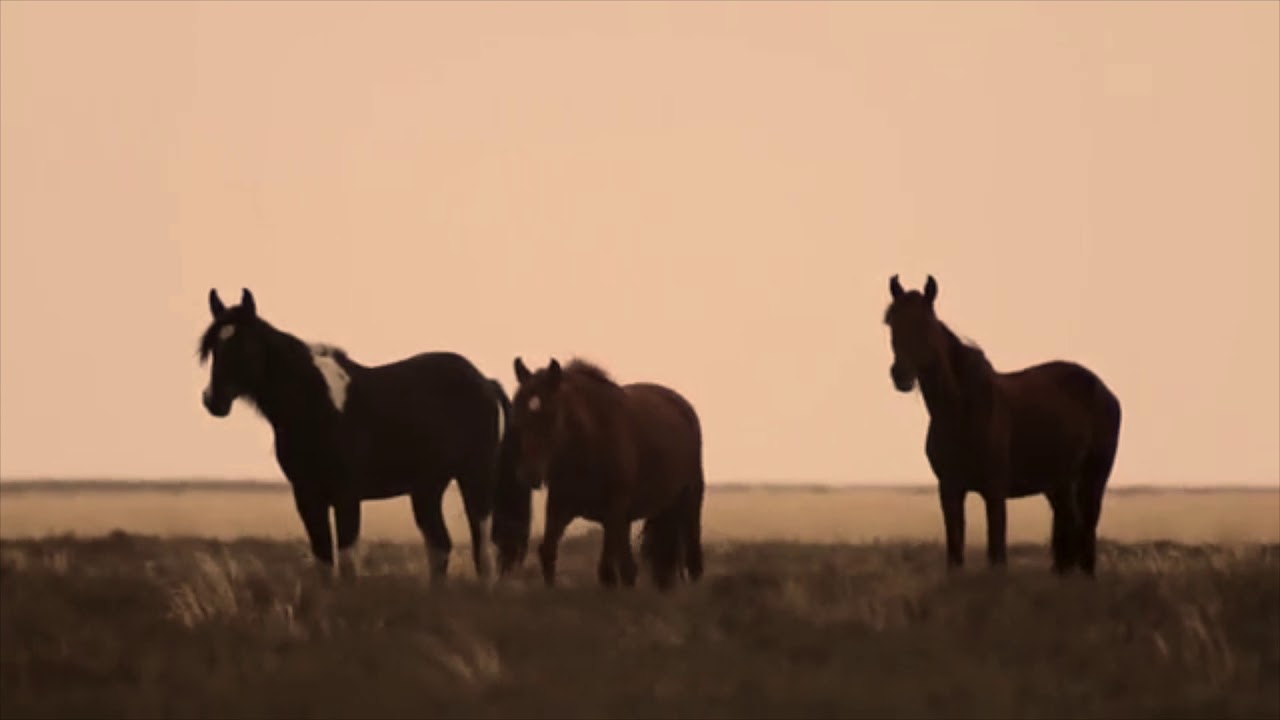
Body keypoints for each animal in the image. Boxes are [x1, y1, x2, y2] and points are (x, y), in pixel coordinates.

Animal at [197, 288, 518, 582]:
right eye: (213, 348)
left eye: (244, 345)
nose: (213, 401)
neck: (316, 404)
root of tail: (486, 382)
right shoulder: (307, 495)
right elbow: (325, 564)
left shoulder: (346, 495)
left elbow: (348, 564)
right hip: (428, 488)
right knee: (440, 547)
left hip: (475, 478)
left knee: (483, 553)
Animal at [497, 356, 706, 590]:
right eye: (518, 416)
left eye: (551, 417)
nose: (529, 475)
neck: (589, 442)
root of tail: (683, 407)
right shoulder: (561, 506)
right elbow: (548, 552)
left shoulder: (614, 509)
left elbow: (614, 569)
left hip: (690, 499)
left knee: (692, 555)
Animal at [882, 275, 1122, 576]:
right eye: (891, 322)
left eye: (925, 323)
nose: (900, 375)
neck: (961, 411)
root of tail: (1104, 390)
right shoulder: (949, 489)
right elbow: (955, 553)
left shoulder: (995, 492)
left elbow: (996, 553)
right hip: (1059, 483)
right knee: (1070, 528)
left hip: (1094, 476)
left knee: (1087, 529)